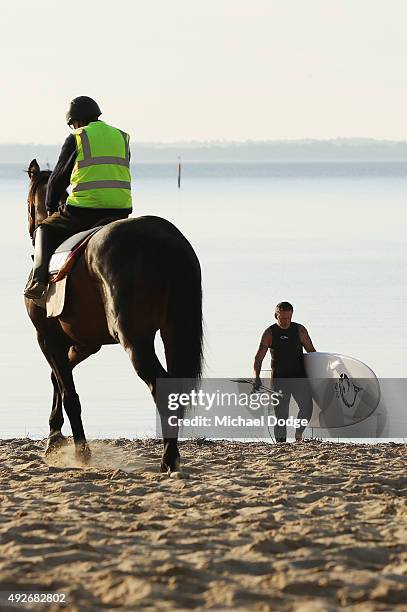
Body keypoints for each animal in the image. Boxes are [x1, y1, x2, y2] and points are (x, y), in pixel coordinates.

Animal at [25, 159, 204, 474]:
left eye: (27, 205)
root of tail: (165, 241)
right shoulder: (85, 343)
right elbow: (59, 378)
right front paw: (55, 437)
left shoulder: (46, 336)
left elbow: (68, 391)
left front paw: (77, 449)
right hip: (173, 331)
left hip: (134, 338)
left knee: (159, 386)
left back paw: (168, 458)